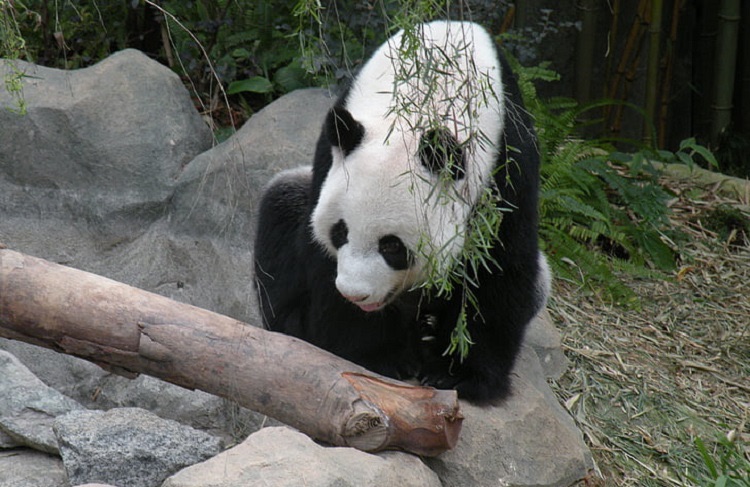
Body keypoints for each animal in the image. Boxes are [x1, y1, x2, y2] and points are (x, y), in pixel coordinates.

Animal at [254, 21, 550, 403]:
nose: (355, 294)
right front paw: (379, 356)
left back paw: (427, 332)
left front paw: (455, 373)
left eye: (392, 246)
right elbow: (317, 254)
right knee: (281, 206)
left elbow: (494, 270)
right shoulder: (331, 152)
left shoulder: (507, 165)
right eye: (340, 232)